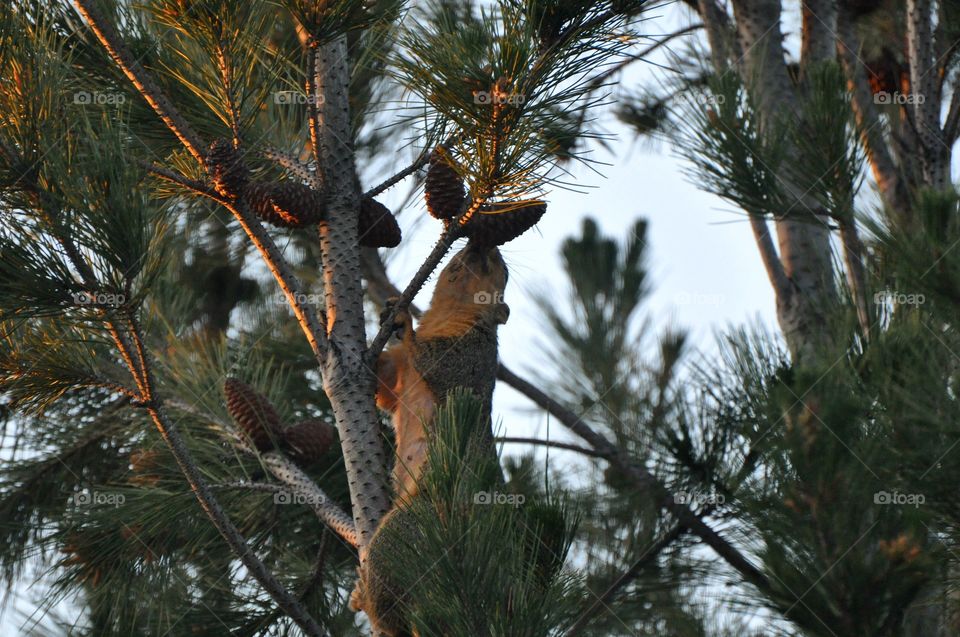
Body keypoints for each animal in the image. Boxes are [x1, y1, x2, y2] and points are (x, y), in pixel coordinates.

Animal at [350, 241, 510, 636]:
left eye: (502, 270)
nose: (485, 242)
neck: (444, 317)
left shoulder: (471, 356)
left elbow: (435, 361)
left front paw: (403, 320)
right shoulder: (399, 370)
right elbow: (385, 388)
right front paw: (387, 313)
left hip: (405, 531)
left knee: (391, 607)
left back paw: (367, 599)